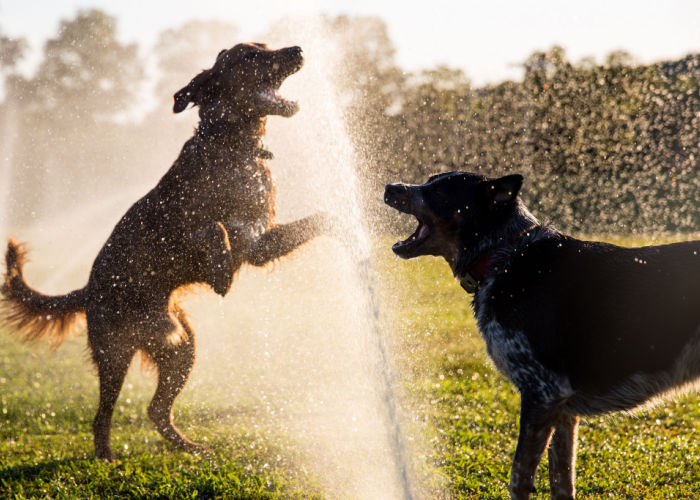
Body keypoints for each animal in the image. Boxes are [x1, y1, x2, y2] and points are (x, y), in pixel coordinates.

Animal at [1, 43, 330, 460]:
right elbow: (212, 229)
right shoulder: (184, 231)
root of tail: (87, 290)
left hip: (182, 347)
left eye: (267, 46)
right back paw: (106, 457)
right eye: (249, 54)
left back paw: (190, 447)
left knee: (156, 409)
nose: (297, 49)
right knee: (103, 416)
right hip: (115, 352)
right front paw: (221, 270)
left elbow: (319, 219)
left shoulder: (258, 243)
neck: (232, 147)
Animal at [386, 171, 696, 496]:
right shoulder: (563, 409)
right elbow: (561, 480)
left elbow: (519, 475)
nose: (389, 187)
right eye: (429, 180)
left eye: (438, 191)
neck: (503, 255)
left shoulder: (543, 392)